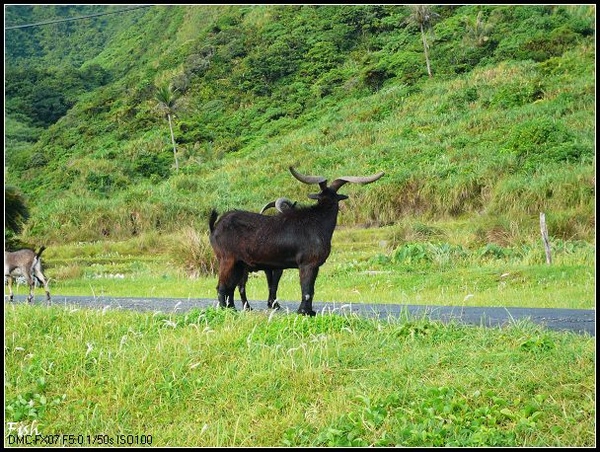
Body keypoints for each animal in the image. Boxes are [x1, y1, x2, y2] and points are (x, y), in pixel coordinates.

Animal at [207, 165, 384, 314]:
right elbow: (306, 290)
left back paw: (233, 309)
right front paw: (303, 312)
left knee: (230, 288)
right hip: (227, 259)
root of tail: (215, 226)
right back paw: (226, 311)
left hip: (239, 264)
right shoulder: (307, 263)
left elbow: (311, 289)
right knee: (222, 287)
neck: (318, 221)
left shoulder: (314, 266)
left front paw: (310, 312)